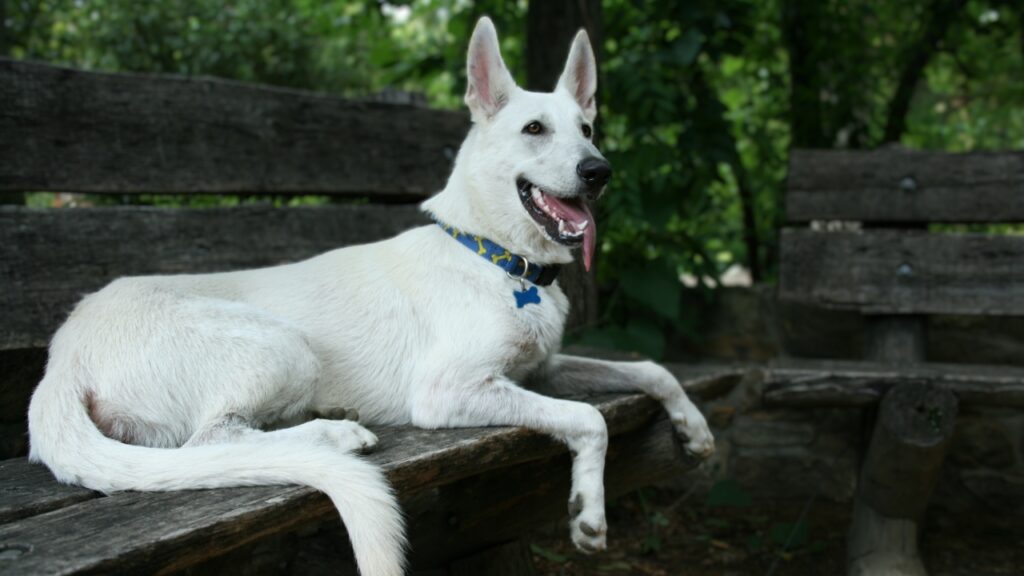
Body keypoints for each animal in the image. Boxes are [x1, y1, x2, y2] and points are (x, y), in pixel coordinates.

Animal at [25, 16, 712, 573]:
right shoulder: (449, 392)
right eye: (535, 129)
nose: (599, 172)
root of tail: (62, 356)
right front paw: (589, 513)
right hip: (283, 346)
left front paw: (695, 428)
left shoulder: (540, 370)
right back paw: (336, 435)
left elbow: (652, 368)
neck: (495, 256)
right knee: (211, 442)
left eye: (589, 127)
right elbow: (589, 419)